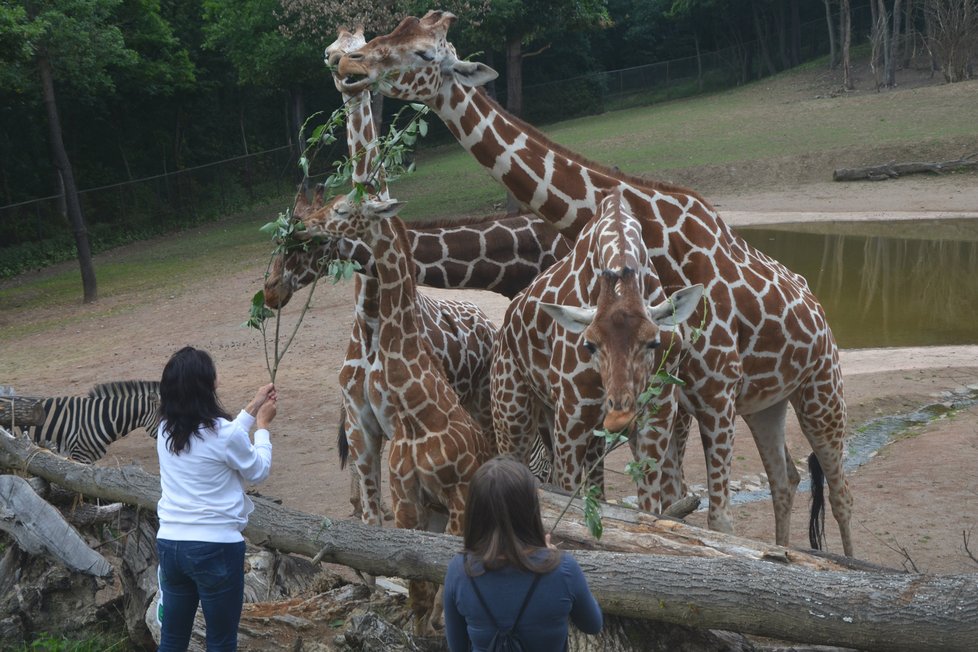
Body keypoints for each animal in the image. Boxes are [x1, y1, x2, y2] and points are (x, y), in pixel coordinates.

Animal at [496, 188, 700, 510]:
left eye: (653, 342)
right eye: (589, 344)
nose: (619, 418)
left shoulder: (658, 413)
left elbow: (649, 505)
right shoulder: (571, 417)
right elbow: (568, 493)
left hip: (567, 424)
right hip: (512, 412)